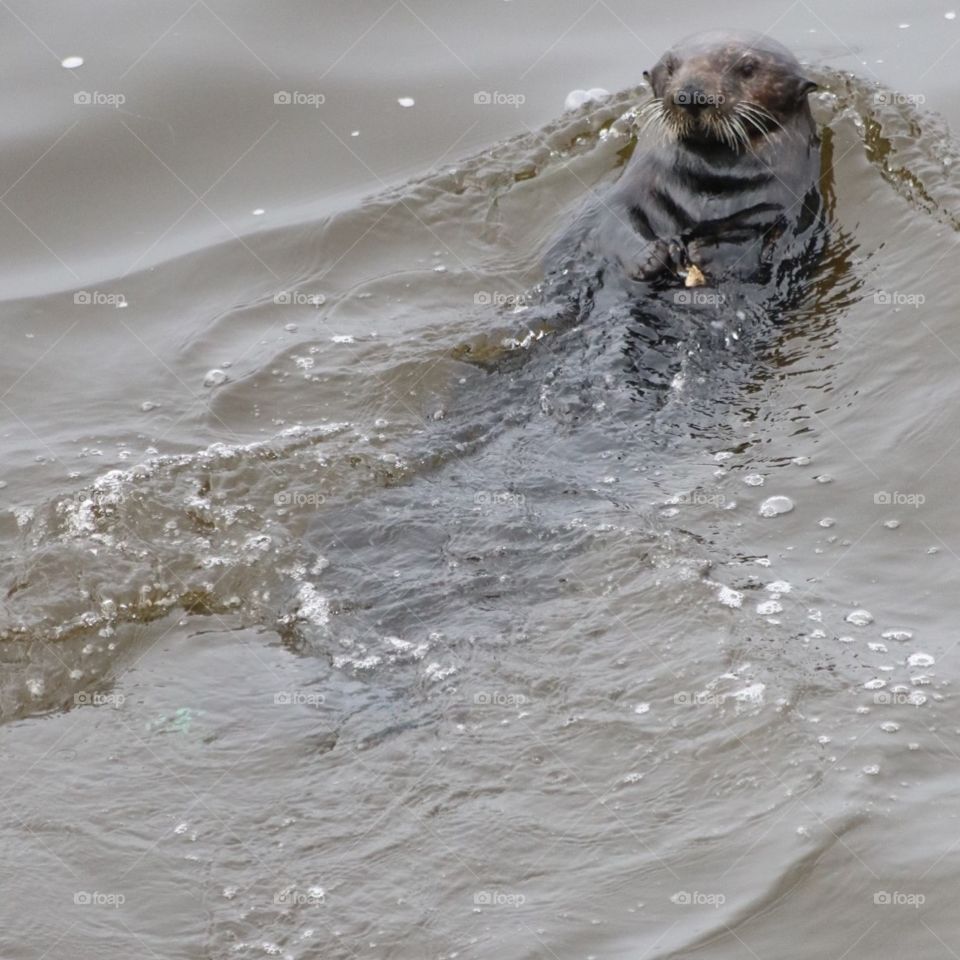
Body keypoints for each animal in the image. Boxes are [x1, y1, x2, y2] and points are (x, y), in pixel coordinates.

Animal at [547, 31, 824, 295]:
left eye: (748, 68)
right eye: (670, 67)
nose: (691, 93)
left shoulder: (783, 207)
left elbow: (762, 241)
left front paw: (706, 253)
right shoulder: (633, 186)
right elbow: (613, 221)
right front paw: (648, 258)